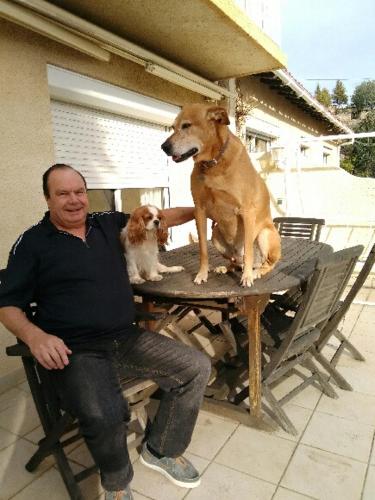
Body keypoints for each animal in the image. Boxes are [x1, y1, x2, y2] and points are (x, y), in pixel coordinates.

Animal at [162, 103, 282, 288]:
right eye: (173, 127)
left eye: (186, 125)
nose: (164, 147)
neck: (213, 164)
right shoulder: (200, 210)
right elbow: (203, 249)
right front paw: (202, 273)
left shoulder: (247, 212)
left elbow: (248, 251)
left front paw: (247, 277)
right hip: (216, 234)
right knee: (235, 261)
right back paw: (226, 267)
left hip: (264, 235)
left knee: (265, 263)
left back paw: (255, 272)